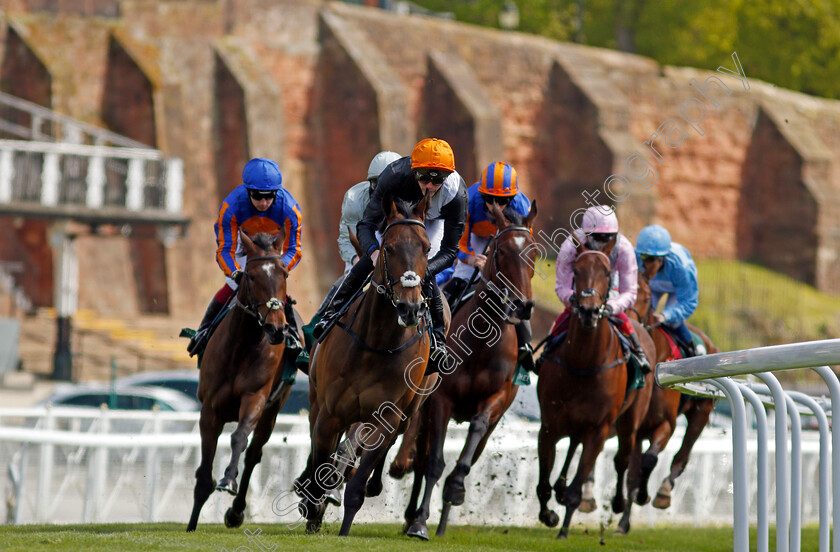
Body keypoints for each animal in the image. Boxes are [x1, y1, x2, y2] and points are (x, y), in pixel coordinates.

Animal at [188, 230, 298, 532]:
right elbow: (204, 477)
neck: (242, 345)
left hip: (273, 410)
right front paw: (191, 525)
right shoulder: (210, 410)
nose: (276, 328)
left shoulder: (255, 398)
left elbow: (239, 437)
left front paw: (228, 479)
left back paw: (236, 511)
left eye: (284, 273)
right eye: (251, 276)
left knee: (253, 453)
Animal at [296, 193, 442, 536]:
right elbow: (321, 461)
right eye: (388, 247)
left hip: (410, 409)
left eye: (426, 247)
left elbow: (357, 485)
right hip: (317, 400)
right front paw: (312, 509)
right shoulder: (329, 413)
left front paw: (343, 526)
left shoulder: (386, 416)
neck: (375, 342)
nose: (410, 308)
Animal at [400, 202, 540, 540]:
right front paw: (420, 522)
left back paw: (443, 521)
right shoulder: (441, 401)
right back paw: (412, 517)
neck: (481, 344)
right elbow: (433, 463)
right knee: (422, 457)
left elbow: (469, 446)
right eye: (502, 250)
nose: (523, 304)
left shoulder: (496, 401)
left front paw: (455, 490)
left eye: (534, 251)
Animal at [540, 242, 656, 540]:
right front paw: (549, 515)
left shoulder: (599, 429)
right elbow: (543, 481)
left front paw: (564, 529)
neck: (584, 364)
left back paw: (618, 504)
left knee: (622, 459)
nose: (589, 311)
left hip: (629, 423)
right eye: (576, 270)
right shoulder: (549, 425)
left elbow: (578, 485)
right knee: (572, 446)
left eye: (606, 272)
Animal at [612, 274, 720, 532]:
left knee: (682, 456)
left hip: (700, 414)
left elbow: (650, 460)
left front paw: (645, 495)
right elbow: (632, 472)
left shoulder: (666, 425)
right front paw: (624, 521)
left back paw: (663, 492)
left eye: (645, 297)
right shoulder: (634, 429)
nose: (628, 325)